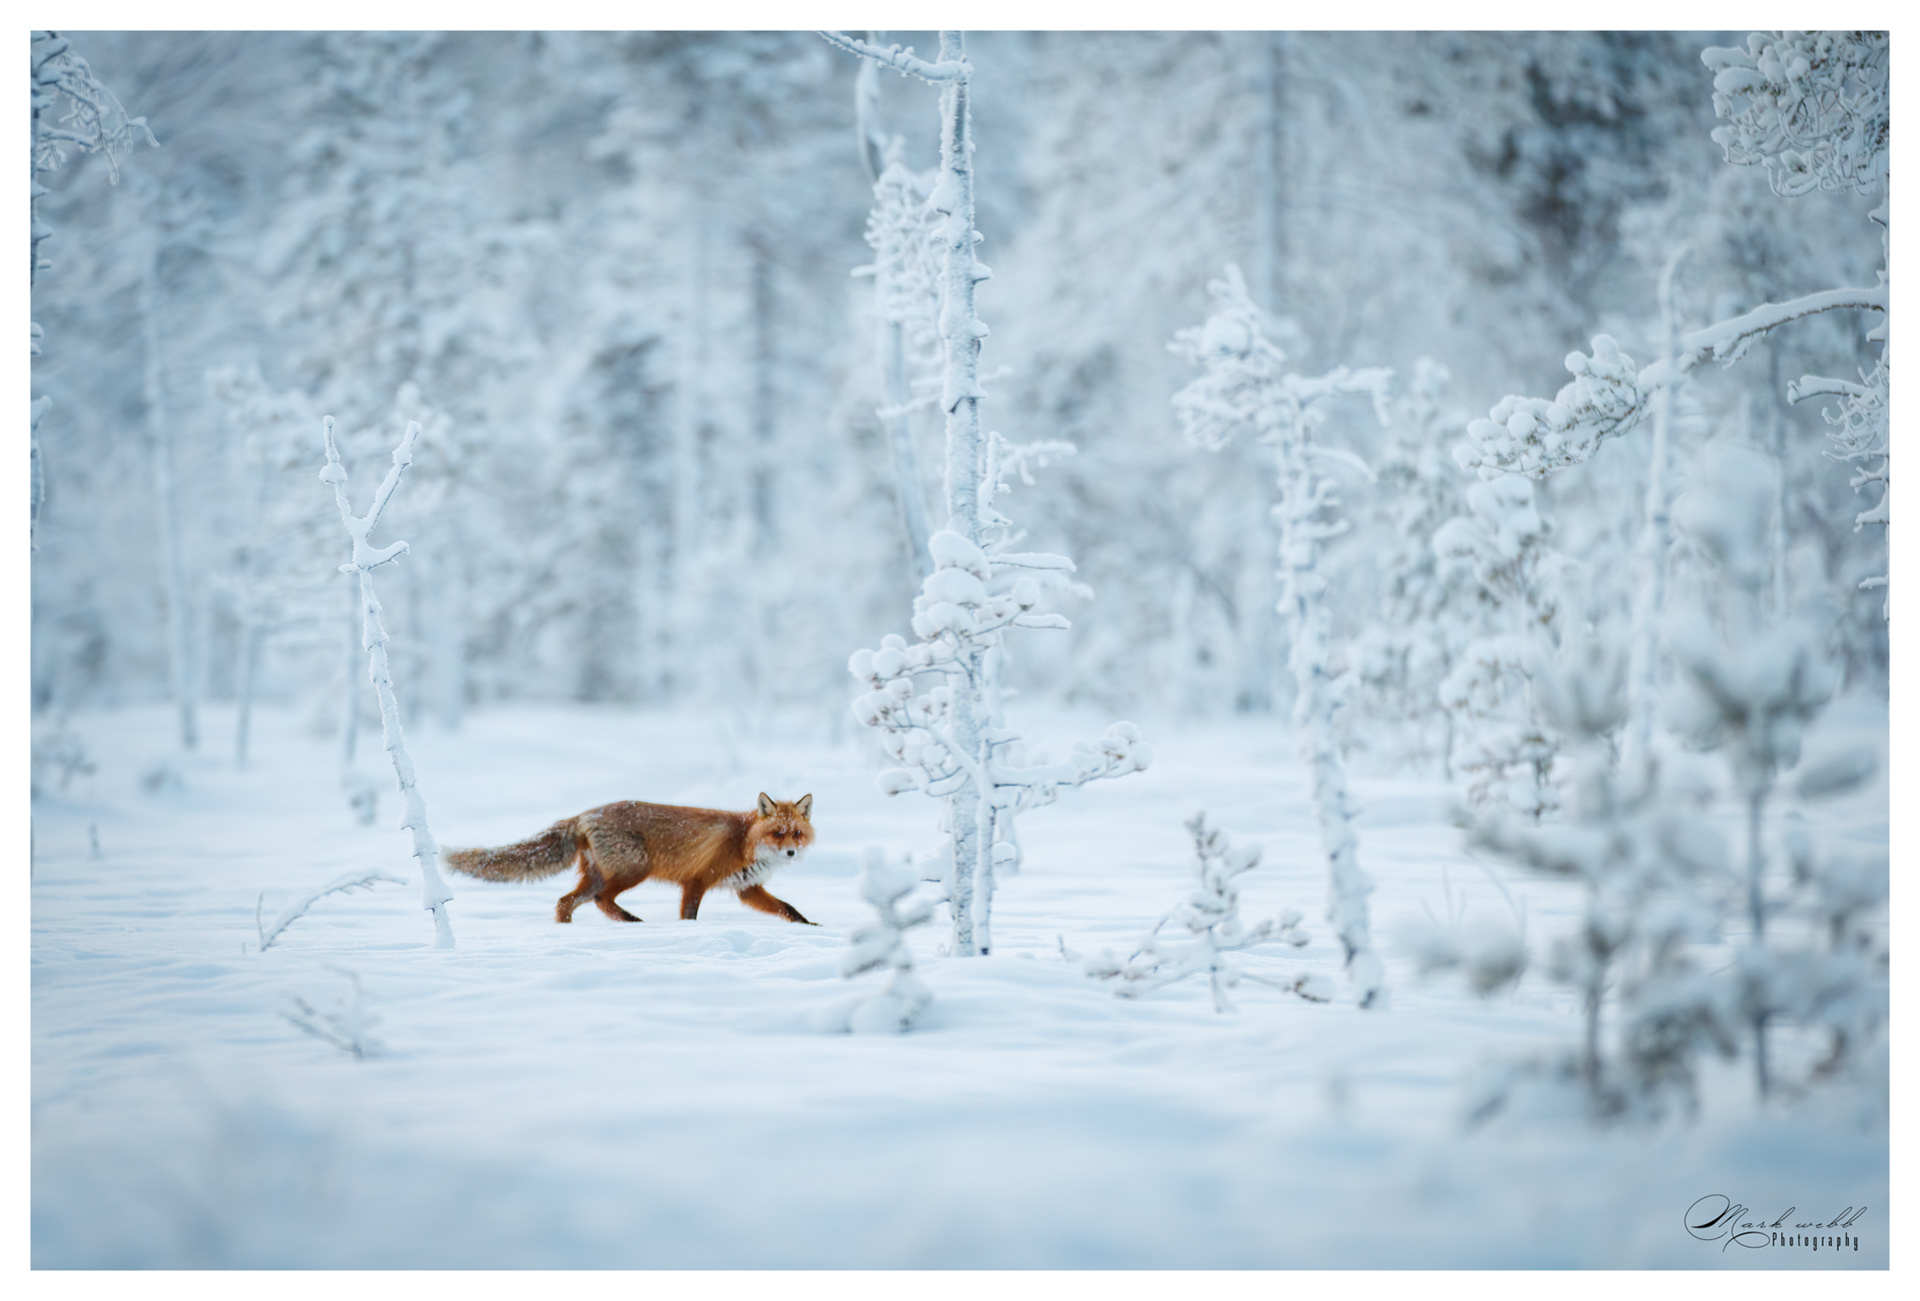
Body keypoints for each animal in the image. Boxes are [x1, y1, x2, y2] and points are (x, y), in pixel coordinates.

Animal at [443, 793, 816, 925]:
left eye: (796, 833)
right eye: (777, 833)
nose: (791, 852)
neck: (742, 841)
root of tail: (585, 814)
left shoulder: (747, 888)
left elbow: (789, 909)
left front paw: (811, 928)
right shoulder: (697, 880)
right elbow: (690, 914)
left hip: (600, 874)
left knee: (565, 901)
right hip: (635, 870)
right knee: (600, 899)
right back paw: (630, 921)